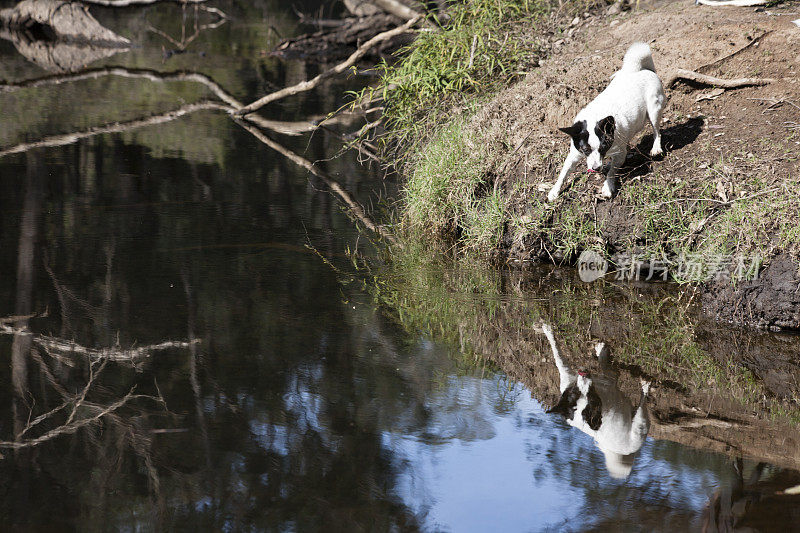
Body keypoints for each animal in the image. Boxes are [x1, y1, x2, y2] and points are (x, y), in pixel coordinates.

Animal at [540, 322, 652, 480]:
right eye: (591, 400)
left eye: (576, 393)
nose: (583, 375)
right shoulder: (611, 379)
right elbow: (606, 366)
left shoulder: (568, 377)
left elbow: (558, 355)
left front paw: (547, 330)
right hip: (639, 429)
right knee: (642, 407)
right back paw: (645, 386)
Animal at [548, 43, 664, 202]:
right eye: (585, 150)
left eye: (603, 147)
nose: (596, 168)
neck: (595, 116)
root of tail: (644, 69)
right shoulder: (574, 154)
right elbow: (564, 172)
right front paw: (554, 190)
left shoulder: (620, 154)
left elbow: (612, 172)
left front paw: (608, 187)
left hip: (654, 110)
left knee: (657, 131)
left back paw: (656, 148)